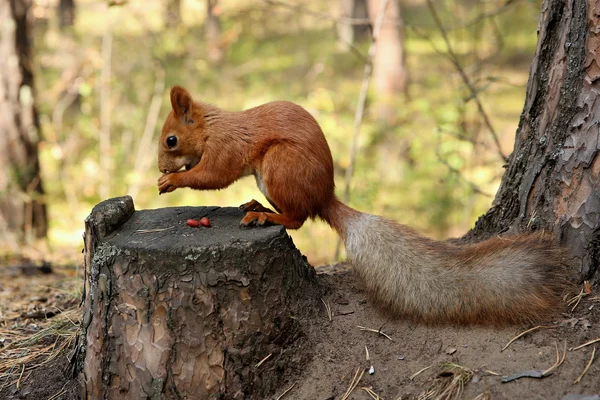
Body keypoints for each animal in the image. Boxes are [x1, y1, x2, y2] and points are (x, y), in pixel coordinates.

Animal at [156, 85, 568, 324]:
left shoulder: (226, 149)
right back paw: (257, 205)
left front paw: (172, 181)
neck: (211, 127)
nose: (160, 167)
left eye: (171, 140)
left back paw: (264, 215)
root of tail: (324, 196)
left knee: (298, 219)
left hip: (279, 166)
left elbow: (212, 176)